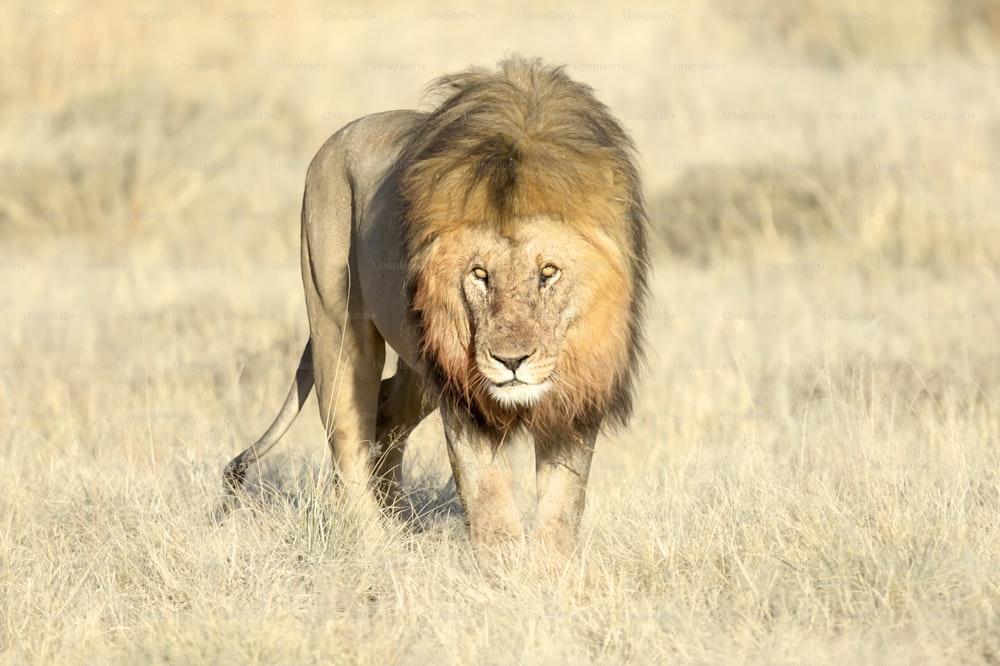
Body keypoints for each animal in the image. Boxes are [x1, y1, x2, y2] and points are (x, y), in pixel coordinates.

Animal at [226, 55, 648, 556]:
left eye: (548, 272)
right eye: (479, 274)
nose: (511, 362)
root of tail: (337, 138)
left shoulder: (581, 391)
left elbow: (562, 508)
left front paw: (549, 571)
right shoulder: (465, 400)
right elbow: (490, 504)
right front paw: (504, 573)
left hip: (423, 361)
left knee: (387, 414)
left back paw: (398, 522)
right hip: (338, 326)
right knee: (349, 435)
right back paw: (375, 546)